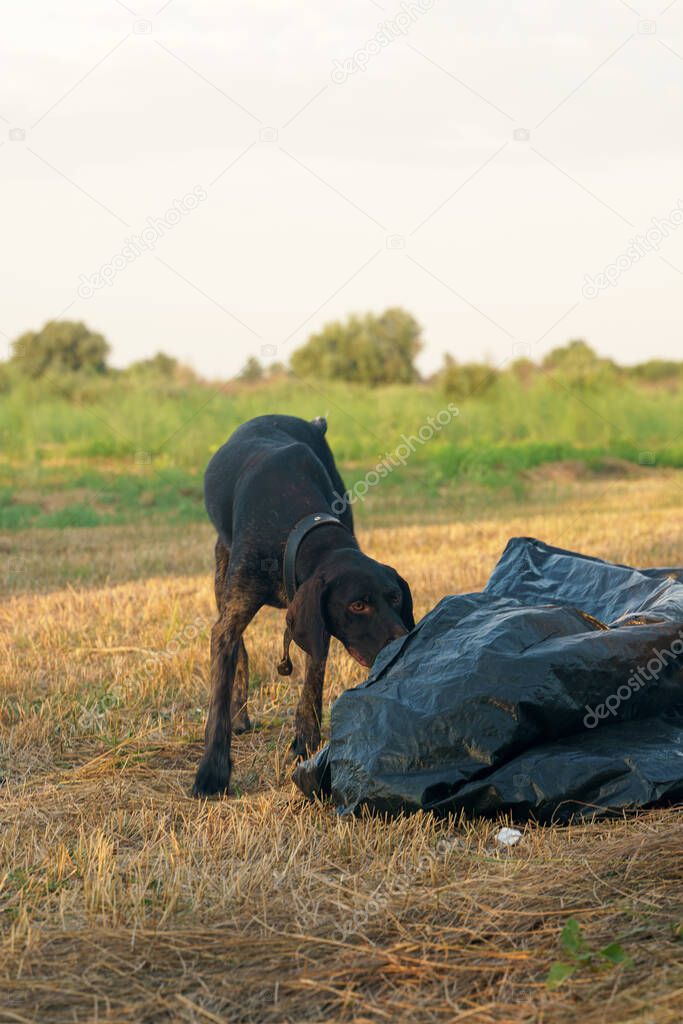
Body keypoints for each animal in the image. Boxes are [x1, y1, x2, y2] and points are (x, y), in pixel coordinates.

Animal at [193, 411, 417, 794]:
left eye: (396, 597)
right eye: (358, 606)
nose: (402, 644)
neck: (298, 527)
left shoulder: (314, 625)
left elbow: (314, 676)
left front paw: (306, 740)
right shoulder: (233, 615)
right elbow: (219, 694)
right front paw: (212, 771)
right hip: (222, 574)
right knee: (238, 646)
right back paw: (240, 716)